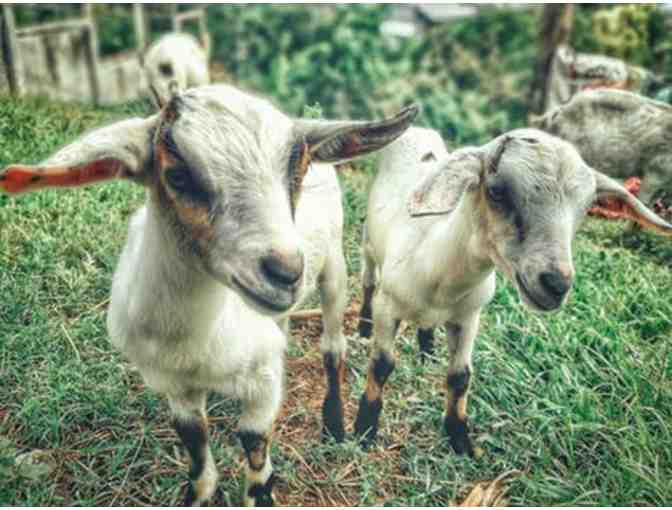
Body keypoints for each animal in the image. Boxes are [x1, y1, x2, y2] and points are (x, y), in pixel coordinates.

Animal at [0, 84, 418, 506]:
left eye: (296, 173)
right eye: (178, 175)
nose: (285, 273)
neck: (193, 340)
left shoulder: (263, 383)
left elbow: (253, 440)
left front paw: (261, 490)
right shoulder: (172, 383)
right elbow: (194, 444)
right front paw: (199, 493)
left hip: (334, 267)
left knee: (333, 347)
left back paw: (334, 422)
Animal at [354, 127, 672, 456]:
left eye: (584, 210)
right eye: (496, 191)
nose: (556, 284)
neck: (437, 263)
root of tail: (418, 129)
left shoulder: (469, 317)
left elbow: (460, 377)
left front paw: (460, 438)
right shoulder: (388, 307)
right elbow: (382, 365)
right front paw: (364, 427)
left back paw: (427, 349)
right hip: (368, 245)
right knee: (367, 280)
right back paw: (363, 326)